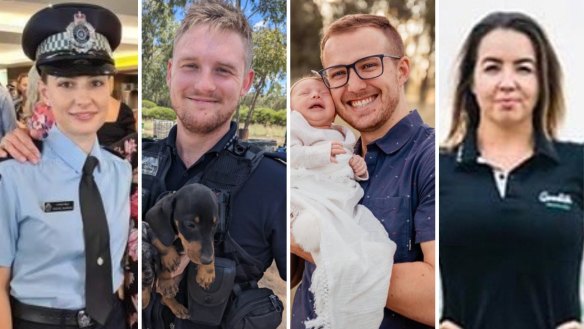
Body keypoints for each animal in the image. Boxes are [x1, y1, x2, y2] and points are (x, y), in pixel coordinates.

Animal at [146, 182, 219, 318]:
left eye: (215, 225)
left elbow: (211, 246)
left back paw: (177, 308)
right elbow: (161, 242)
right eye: (190, 225)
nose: (207, 260)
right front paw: (170, 260)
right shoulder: (153, 231)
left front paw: (207, 271)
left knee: (165, 299)